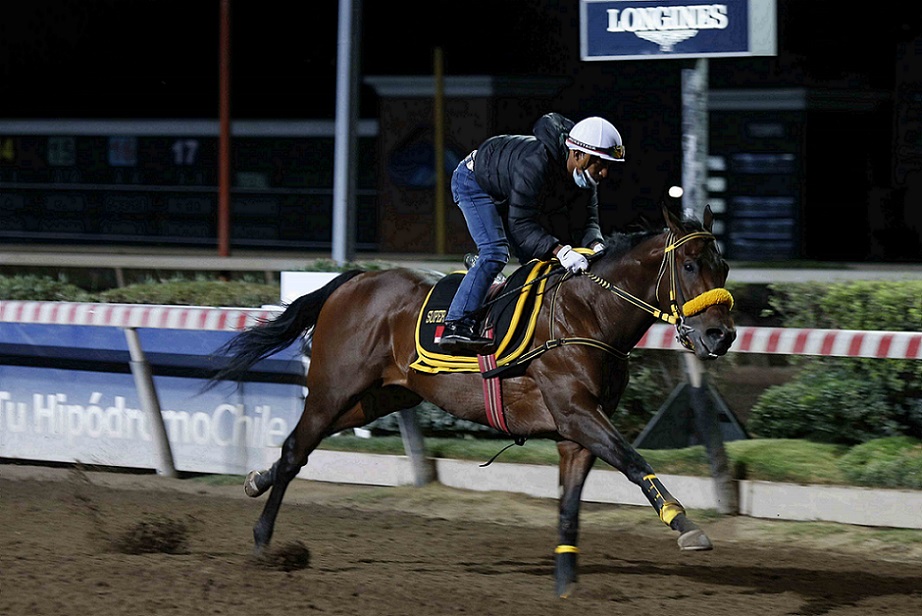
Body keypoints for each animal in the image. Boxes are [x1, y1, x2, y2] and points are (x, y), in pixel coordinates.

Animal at [208, 204, 736, 597]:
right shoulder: (576, 411)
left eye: (724, 267)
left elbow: (570, 505)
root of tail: (354, 281)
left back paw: (256, 480)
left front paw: (566, 583)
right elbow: (632, 460)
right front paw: (684, 523)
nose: (722, 335)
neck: (586, 314)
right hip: (333, 387)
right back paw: (263, 542)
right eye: (690, 265)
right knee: (296, 447)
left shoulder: (576, 431)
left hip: (383, 396)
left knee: (302, 448)